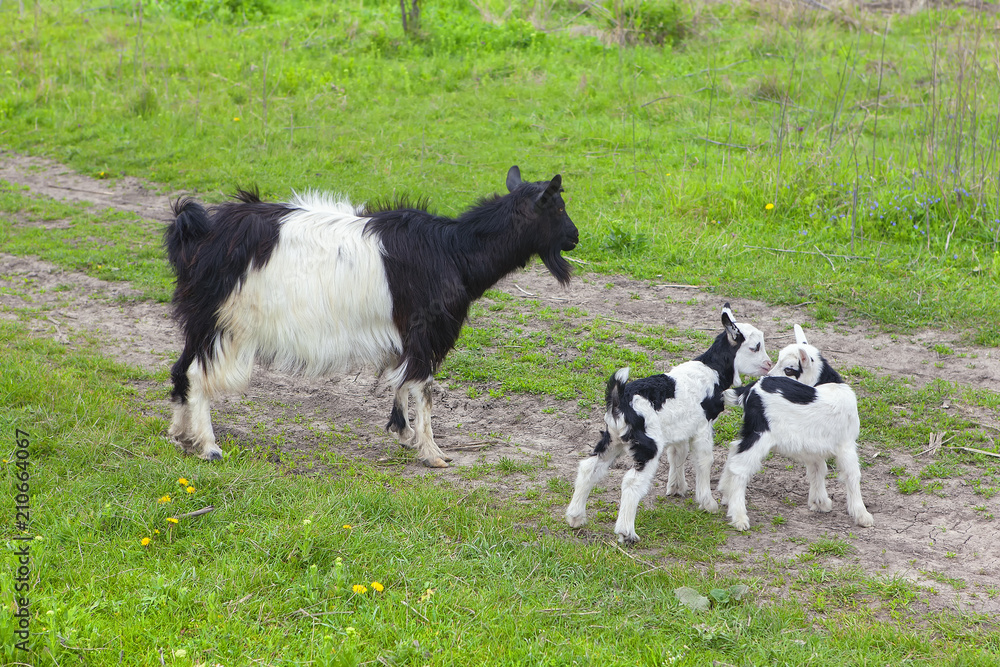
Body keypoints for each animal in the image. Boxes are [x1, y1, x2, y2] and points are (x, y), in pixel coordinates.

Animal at [164, 166, 578, 467]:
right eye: (558, 208)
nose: (575, 237)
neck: (452, 251)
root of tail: (198, 231)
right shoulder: (425, 331)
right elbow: (422, 387)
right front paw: (432, 453)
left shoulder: (404, 333)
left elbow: (401, 381)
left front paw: (404, 433)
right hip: (227, 322)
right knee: (197, 373)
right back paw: (209, 446)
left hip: (201, 319)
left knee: (180, 368)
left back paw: (181, 436)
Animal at [565, 304, 773, 544]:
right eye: (755, 347)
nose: (769, 365)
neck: (712, 369)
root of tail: (619, 400)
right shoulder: (702, 428)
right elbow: (704, 460)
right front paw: (707, 503)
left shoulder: (680, 429)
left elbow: (677, 455)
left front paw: (676, 488)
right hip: (648, 444)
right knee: (631, 482)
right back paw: (626, 532)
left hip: (613, 438)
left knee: (589, 467)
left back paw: (575, 516)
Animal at [717, 325, 874, 531]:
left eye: (788, 370)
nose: (768, 374)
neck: (830, 384)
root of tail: (752, 389)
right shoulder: (846, 444)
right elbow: (852, 475)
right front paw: (862, 515)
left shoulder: (814, 446)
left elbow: (818, 469)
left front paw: (819, 502)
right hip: (762, 435)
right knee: (739, 467)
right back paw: (739, 517)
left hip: (752, 430)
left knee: (734, 448)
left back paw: (725, 493)